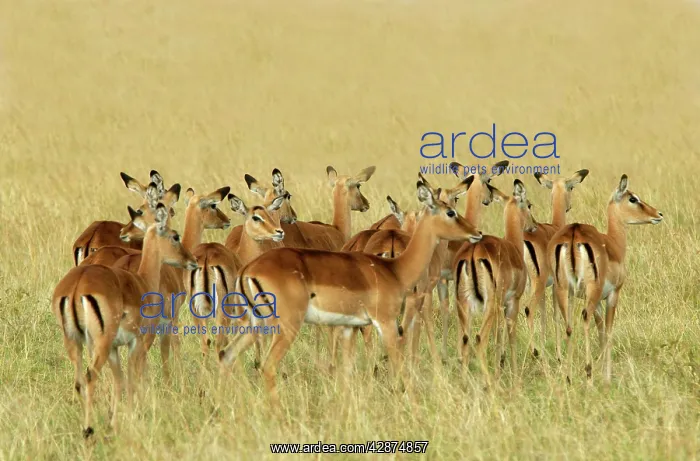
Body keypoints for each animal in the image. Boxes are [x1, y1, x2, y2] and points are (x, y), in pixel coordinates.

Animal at [51, 203, 197, 438]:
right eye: (175, 236)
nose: (192, 261)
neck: (142, 280)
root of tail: (77, 285)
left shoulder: (115, 348)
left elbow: (120, 380)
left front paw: (115, 419)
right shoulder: (137, 341)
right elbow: (131, 377)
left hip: (74, 341)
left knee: (80, 381)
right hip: (101, 343)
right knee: (91, 376)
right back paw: (89, 429)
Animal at [219, 181, 483, 407]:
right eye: (450, 212)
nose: (477, 232)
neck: (394, 269)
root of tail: (249, 269)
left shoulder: (349, 327)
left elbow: (347, 373)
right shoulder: (385, 322)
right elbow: (399, 367)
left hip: (255, 324)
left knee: (226, 355)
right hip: (285, 325)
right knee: (267, 366)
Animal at [453, 179, 536, 387]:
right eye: (529, 204)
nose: (533, 226)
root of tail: (473, 252)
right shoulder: (511, 303)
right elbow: (509, 337)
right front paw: (513, 376)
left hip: (463, 304)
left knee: (465, 341)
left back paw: (464, 384)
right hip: (490, 305)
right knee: (479, 339)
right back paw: (488, 384)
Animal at [521, 169, 589, 359]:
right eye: (571, 187)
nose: (569, 206)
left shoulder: (548, 287)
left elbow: (545, 316)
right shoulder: (556, 285)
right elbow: (556, 315)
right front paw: (558, 355)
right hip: (537, 283)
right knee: (529, 310)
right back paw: (534, 353)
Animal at [547, 174, 663, 383]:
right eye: (633, 198)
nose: (658, 214)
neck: (613, 244)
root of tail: (574, 233)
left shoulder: (596, 300)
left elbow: (600, 332)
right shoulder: (612, 295)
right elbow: (608, 332)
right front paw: (607, 376)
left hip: (563, 290)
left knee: (568, 326)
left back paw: (568, 377)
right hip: (591, 291)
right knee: (584, 319)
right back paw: (588, 374)